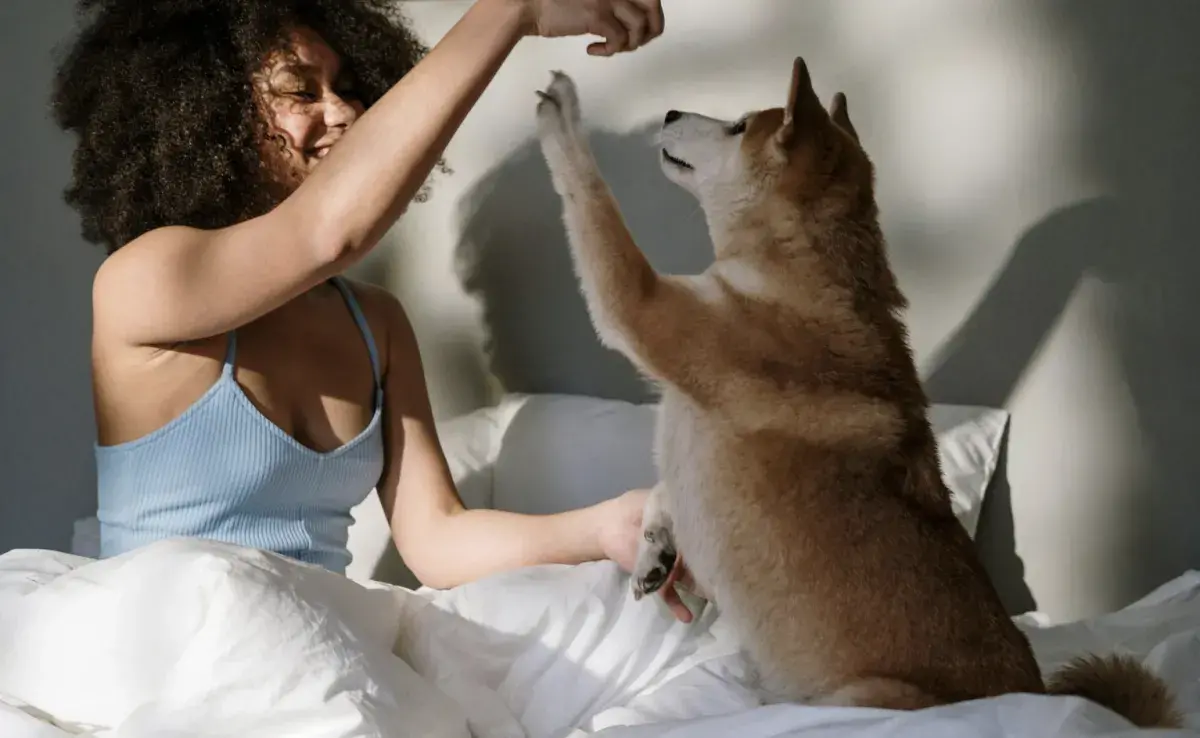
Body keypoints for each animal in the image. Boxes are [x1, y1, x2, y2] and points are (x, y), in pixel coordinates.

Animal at [532, 57, 1180, 729]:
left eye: (738, 126)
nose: (668, 111)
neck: (800, 278)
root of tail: (1038, 695)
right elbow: (662, 493)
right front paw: (655, 550)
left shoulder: (638, 303)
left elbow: (591, 199)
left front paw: (563, 117)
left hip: (854, 703)